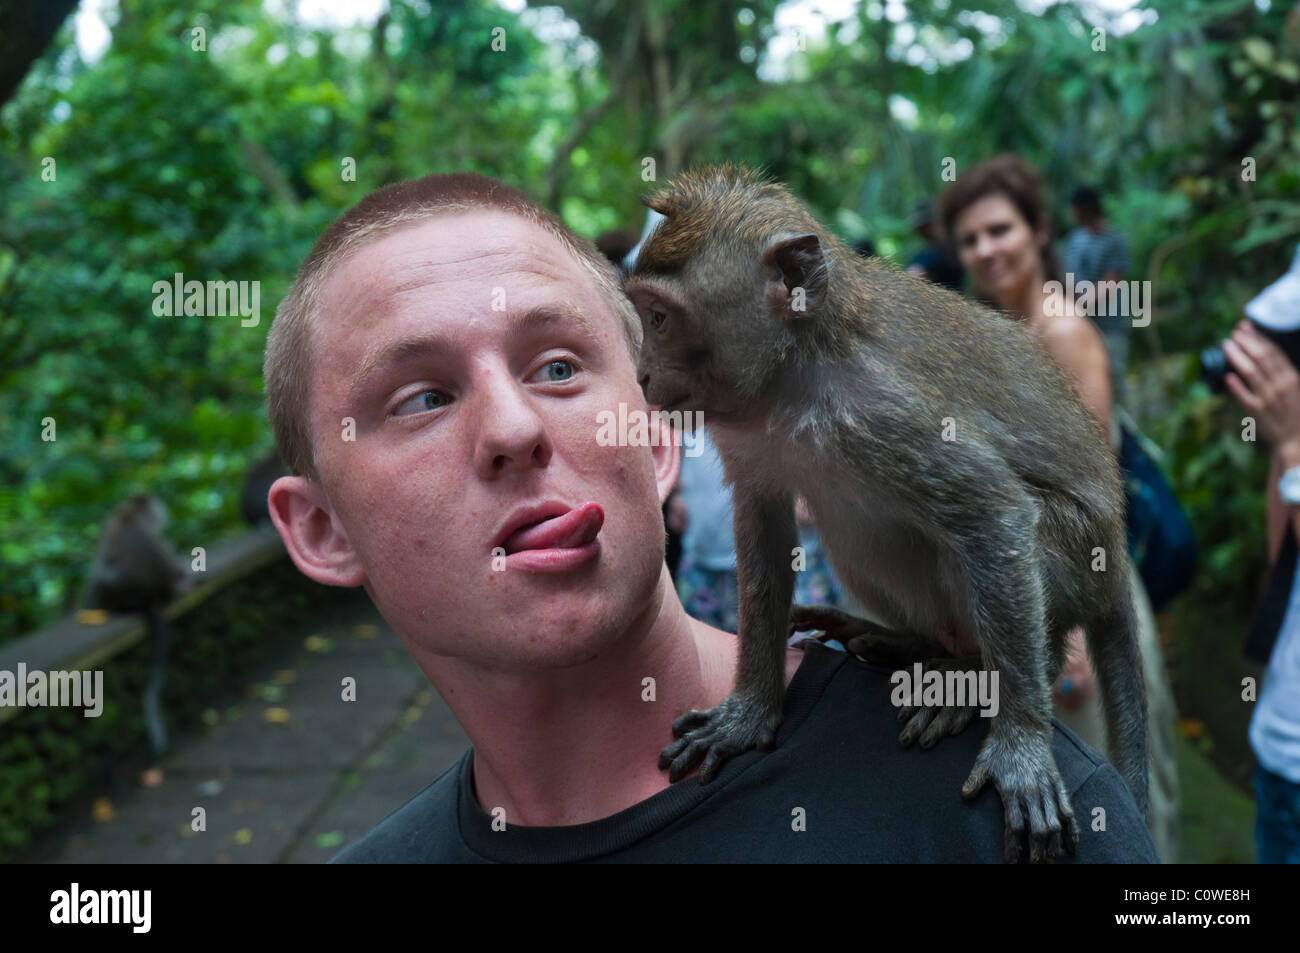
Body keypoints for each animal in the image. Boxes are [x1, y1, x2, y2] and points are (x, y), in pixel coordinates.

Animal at [629, 163, 1149, 863]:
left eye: (659, 318)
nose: (641, 376)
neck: (796, 374)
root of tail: (1117, 554)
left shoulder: (880, 410)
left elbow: (993, 512)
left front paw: (1021, 747)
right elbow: (764, 528)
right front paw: (750, 711)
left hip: (1082, 553)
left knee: (1008, 543)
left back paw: (973, 675)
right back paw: (902, 639)